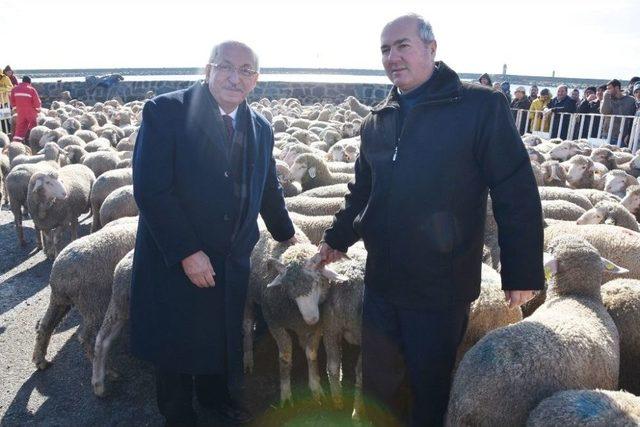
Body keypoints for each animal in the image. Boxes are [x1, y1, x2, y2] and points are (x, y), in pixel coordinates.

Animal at [32, 221, 138, 372]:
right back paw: (105, 370)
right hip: (95, 304)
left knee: (46, 325)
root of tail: (61, 275)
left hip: (59, 300)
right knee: (89, 338)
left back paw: (40, 360)